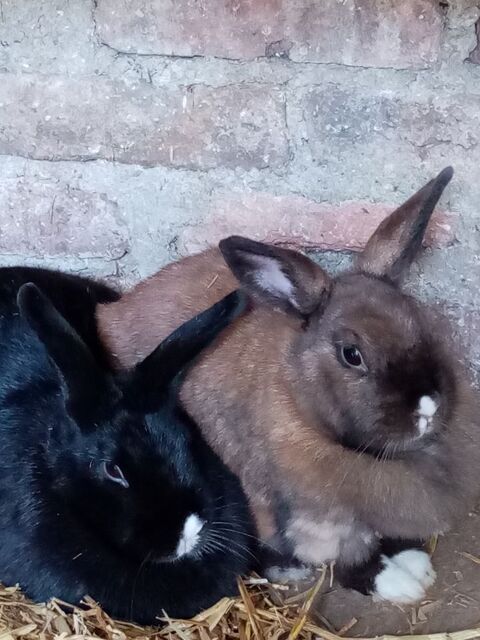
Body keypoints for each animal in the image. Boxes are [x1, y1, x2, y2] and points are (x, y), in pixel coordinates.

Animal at [97, 167, 480, 603]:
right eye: (352, 354)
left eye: (420, 322)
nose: (428, 405)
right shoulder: (312, 521)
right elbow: (350, 560)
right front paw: (396, 581)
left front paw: (411, 560)